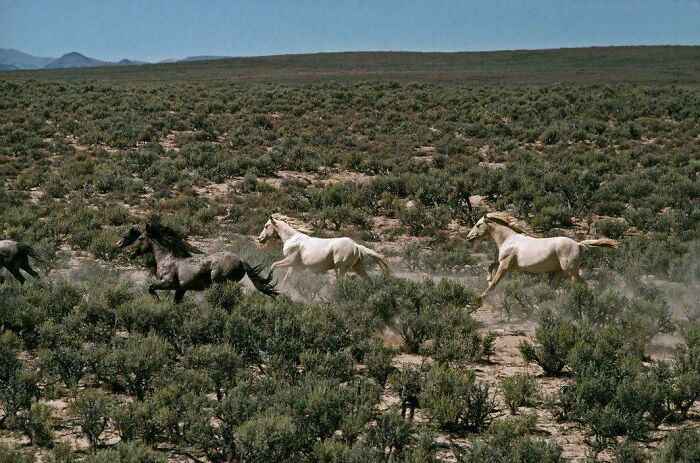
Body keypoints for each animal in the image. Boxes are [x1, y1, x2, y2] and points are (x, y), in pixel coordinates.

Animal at [125, 224, 277, 303]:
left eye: (140, 238)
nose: (128, 251)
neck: (168, 258)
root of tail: (240, 260)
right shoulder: (181, 289)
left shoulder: (168, 283)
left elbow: (151, 288)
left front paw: (157, 300)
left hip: (218, 283)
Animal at [257, 214, 391, 285]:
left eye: (266, 226)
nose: (260, 239)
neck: (292, 239)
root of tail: (356, 245)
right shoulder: (294, 266)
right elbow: (286, 279)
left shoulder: (290, 261)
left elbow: (273, 265)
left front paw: (267, 281)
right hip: (358, 267)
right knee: (368, 280)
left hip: (341, 269)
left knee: (338, 284)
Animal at [467, 212, 619, 299]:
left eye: (478, 224)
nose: (469, 237)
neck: (509, 239)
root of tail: (578, 244)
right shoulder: (507, 265)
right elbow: (490, 266)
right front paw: (487, 280)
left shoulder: (505, 266)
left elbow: (494, 283)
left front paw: (480, 297)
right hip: (560, 271)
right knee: (554, 288)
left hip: (571, 271)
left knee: (582, 285)